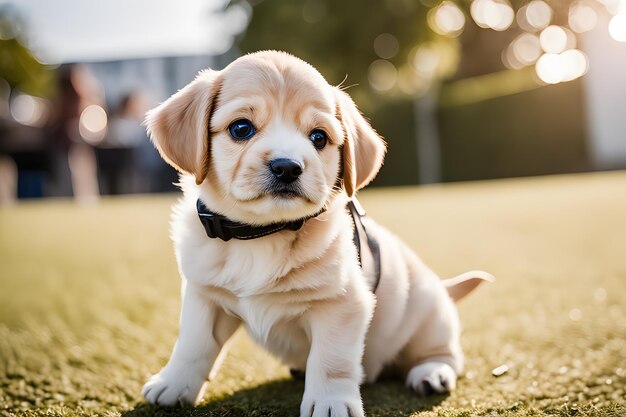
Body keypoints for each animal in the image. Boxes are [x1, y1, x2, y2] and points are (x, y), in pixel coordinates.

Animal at [143, 51, 492, 416]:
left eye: (319, 137)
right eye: (241, 128)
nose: (287, 166)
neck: (262, 234)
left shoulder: (342, 304)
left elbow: (331, 361)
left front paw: (330, 403)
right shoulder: (203, 296)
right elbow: (193, 343)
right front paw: (174, 385)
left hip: (430, 318)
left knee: (446, 354)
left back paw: (431, 373)